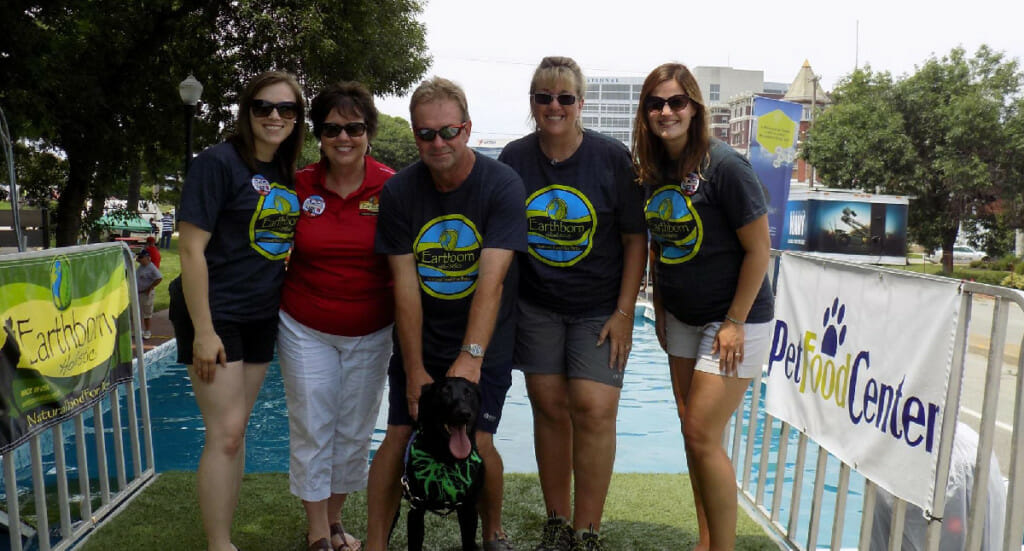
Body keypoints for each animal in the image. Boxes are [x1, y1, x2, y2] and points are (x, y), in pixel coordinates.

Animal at [395, 374, 483, 548]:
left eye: (468, 393)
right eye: (444, 392)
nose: (464, 413)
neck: (446, 459)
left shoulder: (469, 509)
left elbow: (468, 541)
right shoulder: (416, 509)